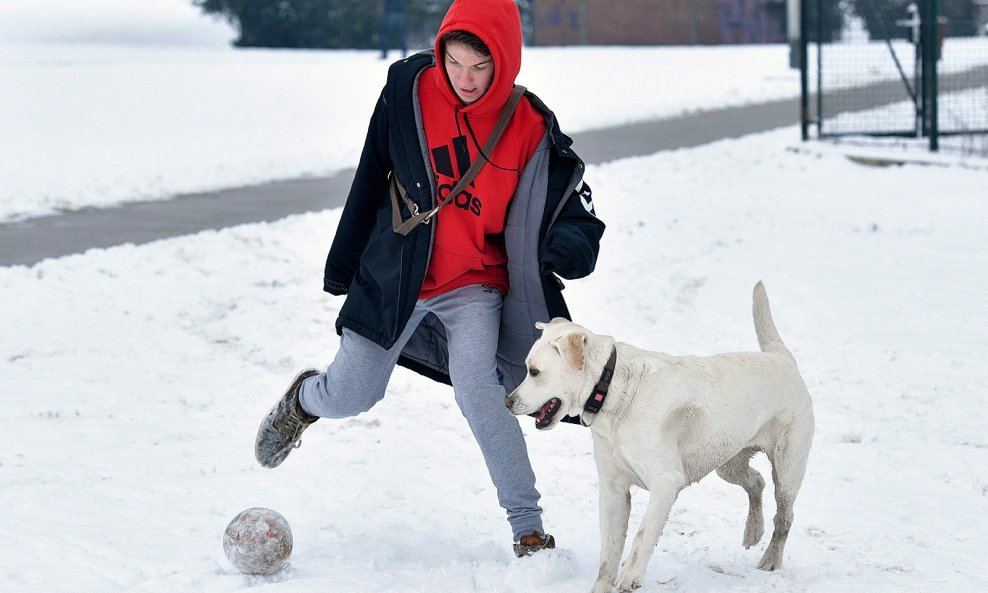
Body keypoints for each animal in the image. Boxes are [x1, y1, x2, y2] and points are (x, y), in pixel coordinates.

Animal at [506, 282, 816, 592]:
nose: (507, 402)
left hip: (787, 470)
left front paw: (629, 578)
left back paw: (770, 559)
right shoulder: (612, 488)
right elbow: (609, 551)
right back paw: (753, 531)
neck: (612, 390)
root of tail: (782, 357)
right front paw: (602, 586)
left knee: (784, 517)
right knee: (756, 482)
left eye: (534, 371)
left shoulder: (666, 482)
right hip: (728, 461)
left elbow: (642, 536)